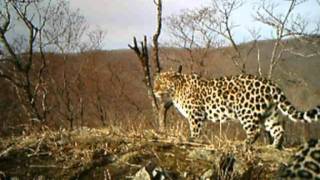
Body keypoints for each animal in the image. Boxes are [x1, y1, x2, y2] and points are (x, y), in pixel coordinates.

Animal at [152, 70, 320, 149]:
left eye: (161, 82)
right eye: (155, 82)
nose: (154, 90)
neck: (176, 90)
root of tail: (271, 84)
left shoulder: (196, 113)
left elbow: (195, 129)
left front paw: (192, 140)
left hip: (246, 111)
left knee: (255, 131)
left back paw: (243, 144)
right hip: (270, 113)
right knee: (278, 129)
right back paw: (274, 146)